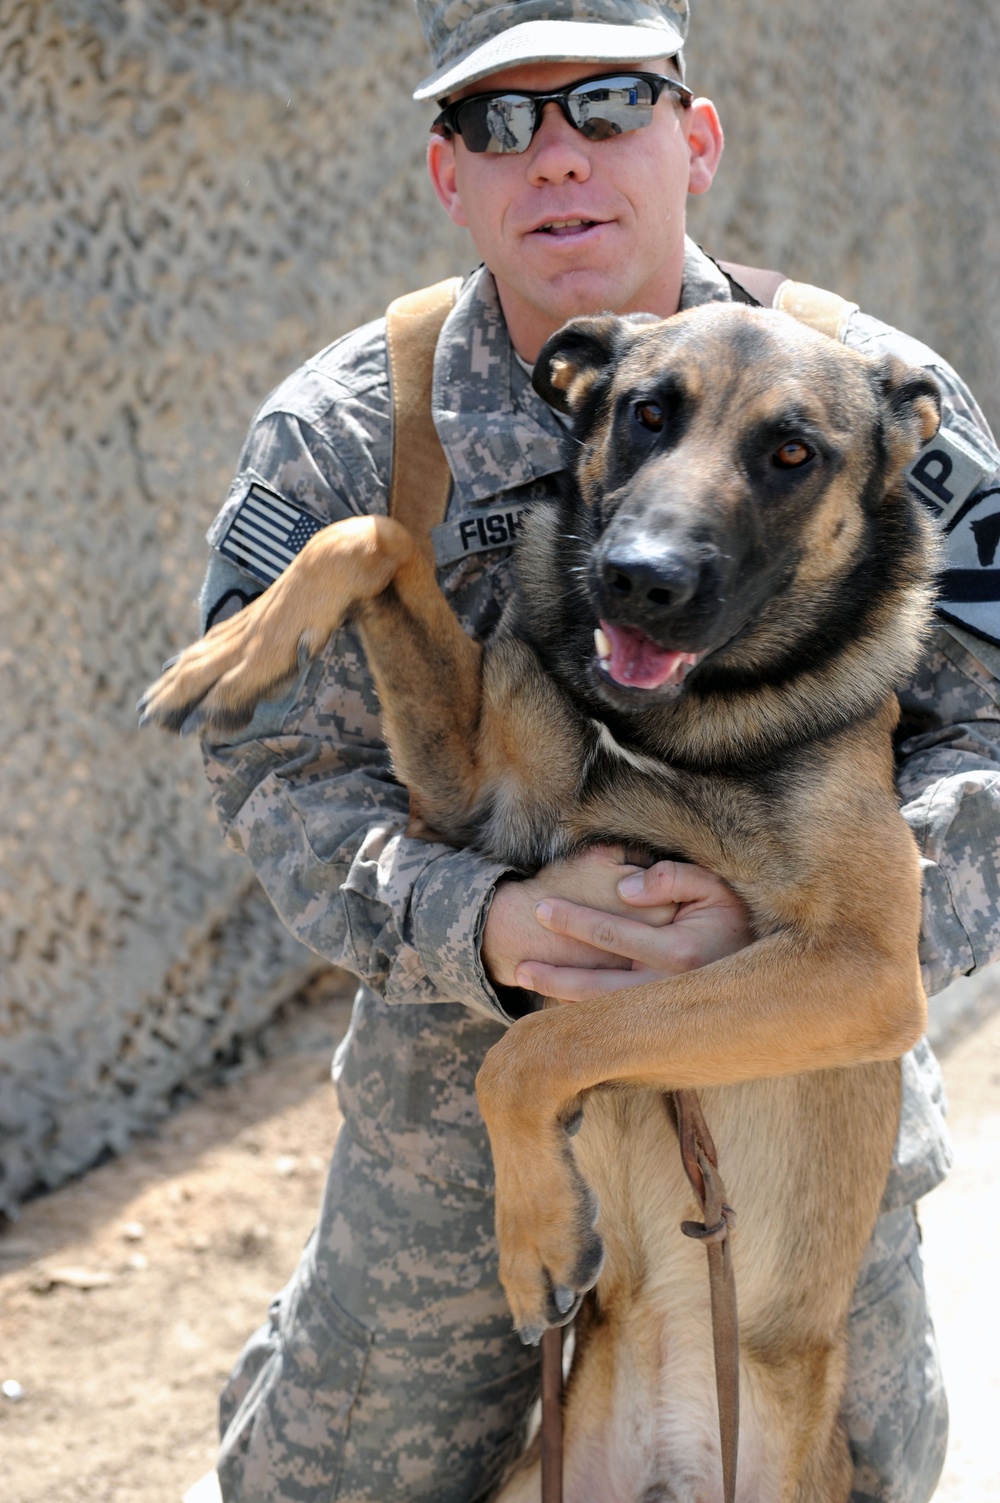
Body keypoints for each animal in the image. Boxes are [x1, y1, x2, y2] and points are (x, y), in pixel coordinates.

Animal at [138, 299, 938, 1496]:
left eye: (793, 454)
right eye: (647, 413)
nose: (640, 579)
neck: (667, 724)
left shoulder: (864, 969)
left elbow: (534, 1048)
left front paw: (536, 1237)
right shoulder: (466, 807)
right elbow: (371, 537)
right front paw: (233, 648)